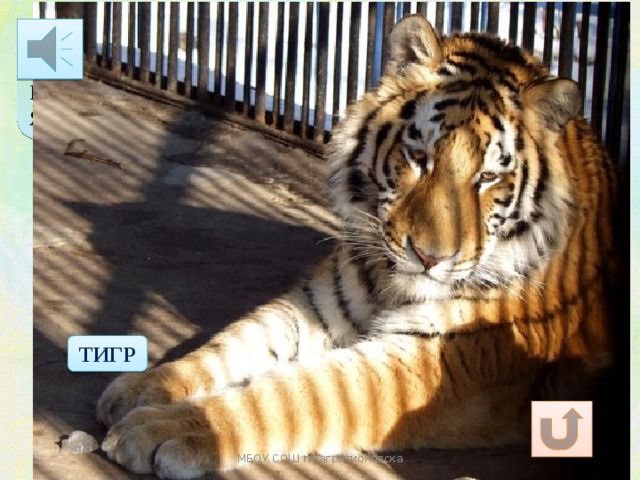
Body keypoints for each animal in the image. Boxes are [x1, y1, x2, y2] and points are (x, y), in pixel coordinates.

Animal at [97, 15, 620, 479]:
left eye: (488, 177)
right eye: (420, 156)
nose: (430, 258)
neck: (394, 286)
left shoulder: (442, 358)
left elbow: (295, 393)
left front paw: (166, 429)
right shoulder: (318, 302)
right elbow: (236, 341)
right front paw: (143, 388)